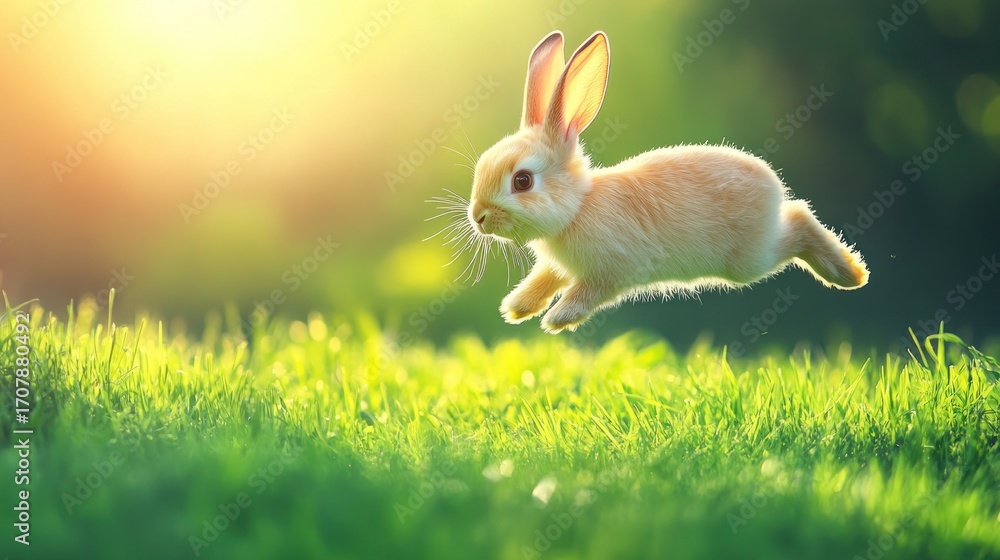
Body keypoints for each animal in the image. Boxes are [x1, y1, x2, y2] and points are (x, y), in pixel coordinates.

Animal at [460, 30, 868, 334]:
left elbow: (586, 294)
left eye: (522, 181)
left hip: (750, 258)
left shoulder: (610, 271)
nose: (478, 217)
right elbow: (545, 279)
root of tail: (772, 184)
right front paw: (516, 308)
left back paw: (850, 273)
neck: (578, 207)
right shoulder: (557, 268)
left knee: (799, 219)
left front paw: (557, 320)